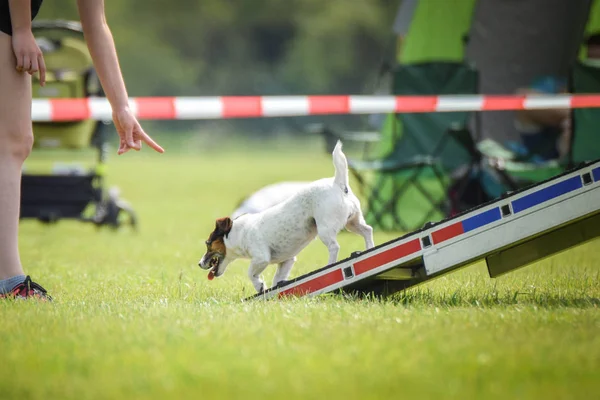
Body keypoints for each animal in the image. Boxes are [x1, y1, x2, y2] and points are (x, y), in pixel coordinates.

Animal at [199, 141, 372, 294]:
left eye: (208, 244)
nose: (199, 264)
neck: (238, 233)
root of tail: (337, 183)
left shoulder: (261, 258)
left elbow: (250, 273)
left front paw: (260, 285)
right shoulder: (287, 261)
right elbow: (278, 280)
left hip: (325, 229)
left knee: (334, 247)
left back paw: (330, 265)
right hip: (352, 222)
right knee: (367, 230)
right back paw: (369, 248)